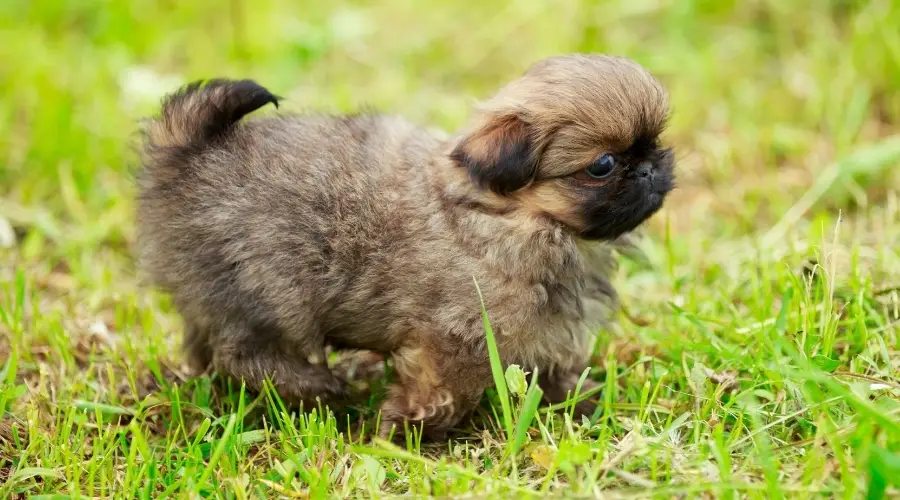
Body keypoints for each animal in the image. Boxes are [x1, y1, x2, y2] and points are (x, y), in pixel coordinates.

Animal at [135, 52, 676, 440]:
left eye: (653, 142)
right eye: (603, 165)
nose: (651, 168)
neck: (509, 215)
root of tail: (187, 158)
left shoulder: (544, 326)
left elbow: (553, 364)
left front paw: (578, 399)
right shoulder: (456, 337)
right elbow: (442, 388)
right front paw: (406, 427)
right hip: (271, 292)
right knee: (242, 354)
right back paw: (319, 388)